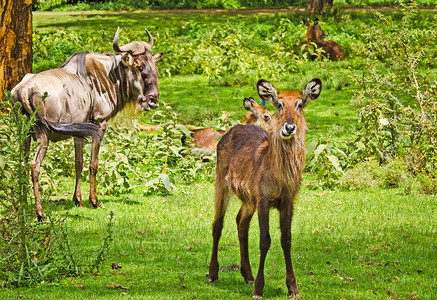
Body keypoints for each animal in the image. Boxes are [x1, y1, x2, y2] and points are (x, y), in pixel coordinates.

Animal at [208, 77, 320, 298]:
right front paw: (259, 289)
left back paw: (248, 275)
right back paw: (213, 274)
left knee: (241, 222)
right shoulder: (263, 198)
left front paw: (292, 288)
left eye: (300, 104)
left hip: (248, 198)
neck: (280, 177)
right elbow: (265, 240)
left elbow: (286, 239)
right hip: (221, 184)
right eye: (279, 104)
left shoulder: (287, 201)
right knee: (218, 224)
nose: (289, 127)